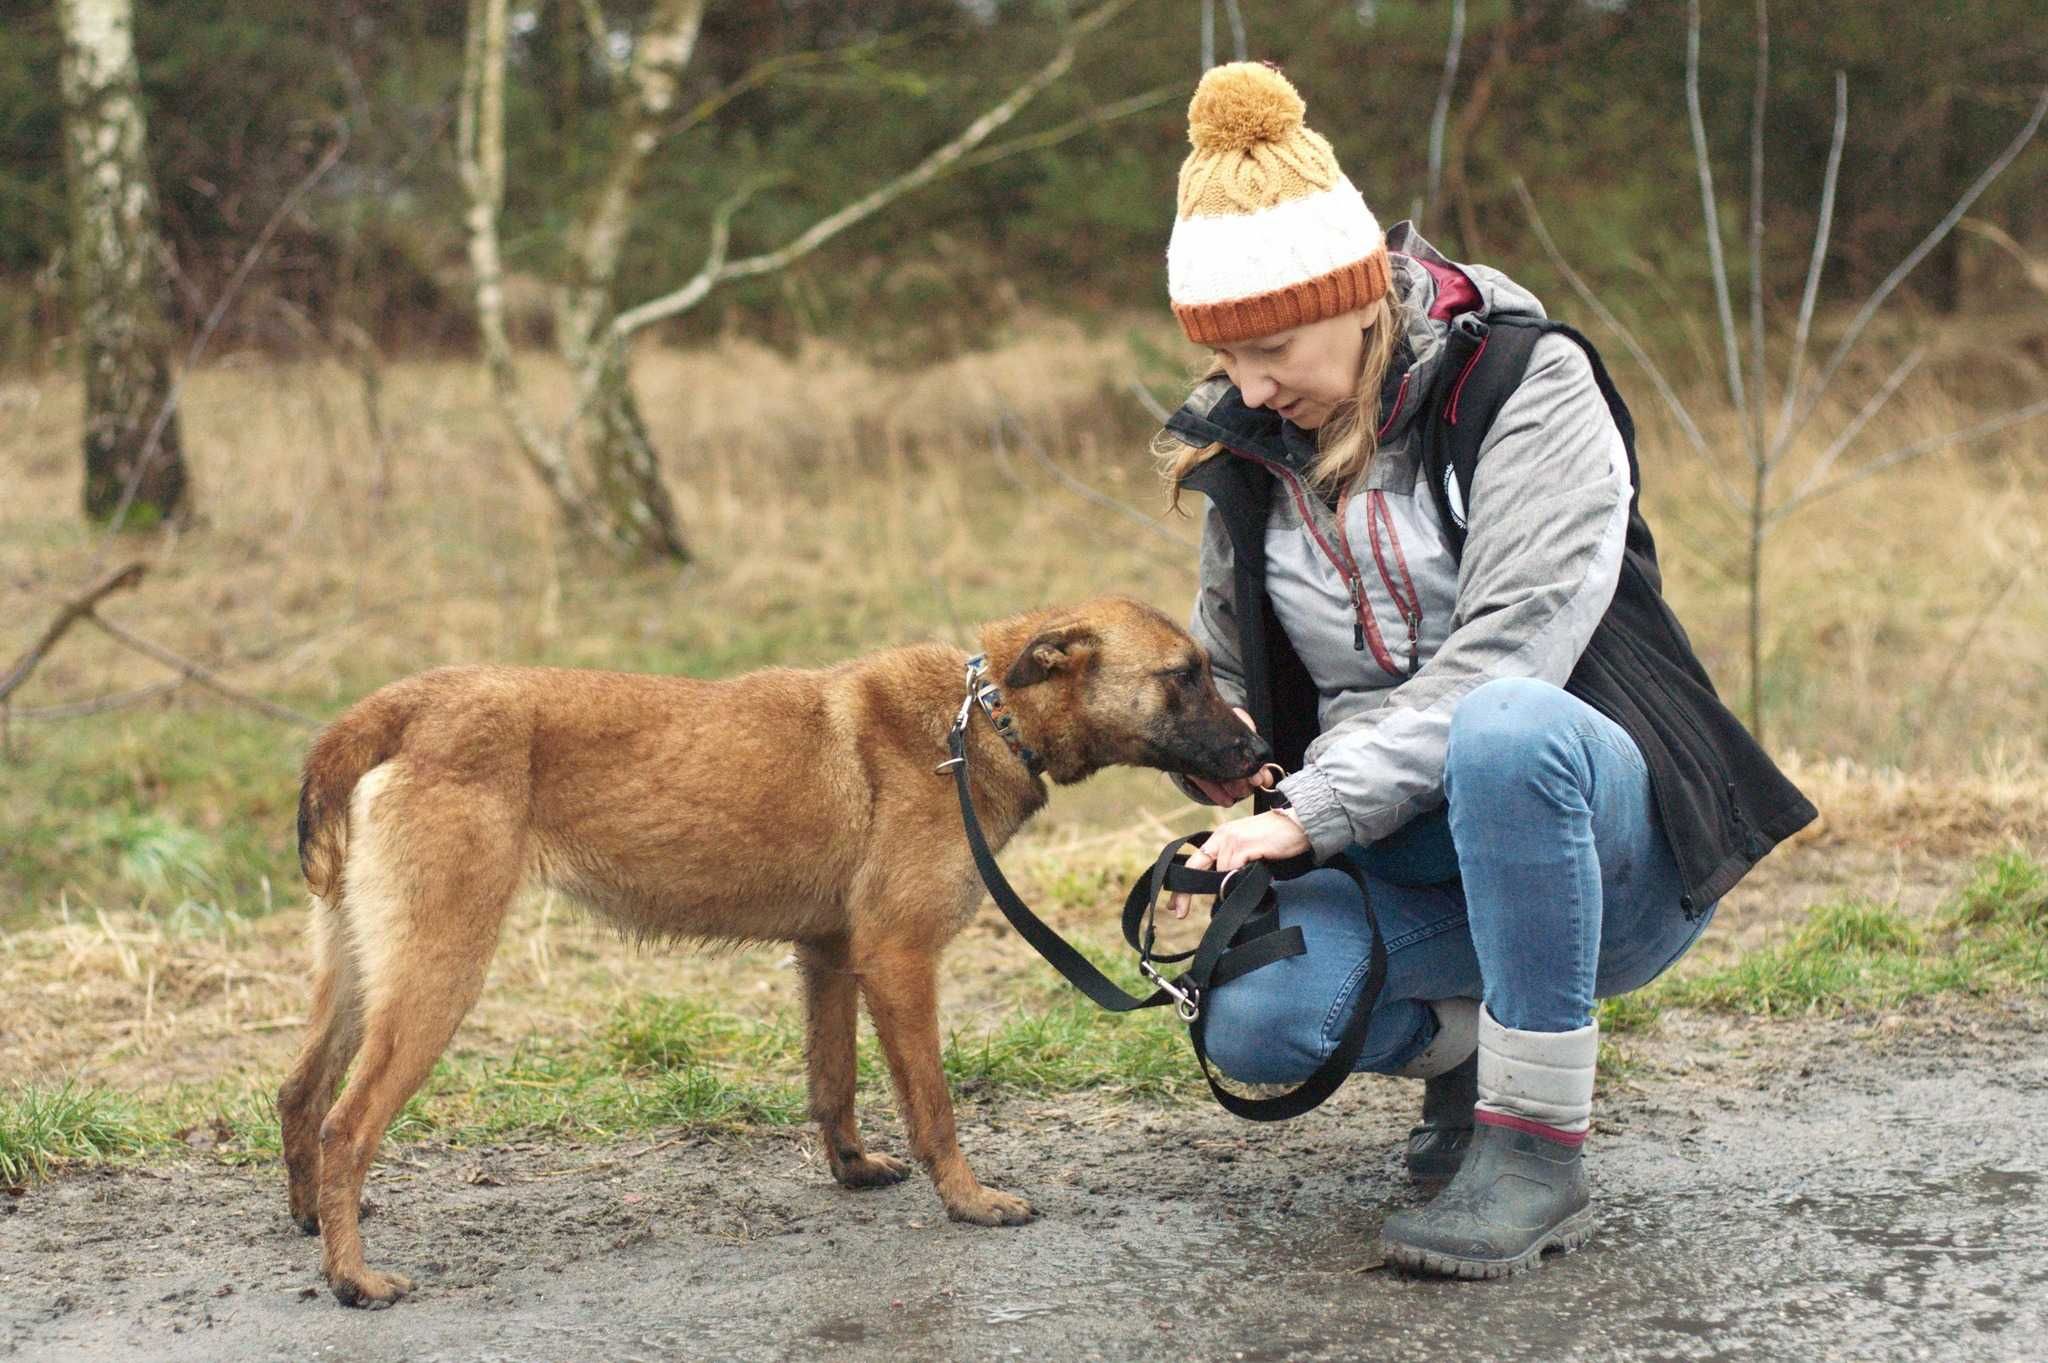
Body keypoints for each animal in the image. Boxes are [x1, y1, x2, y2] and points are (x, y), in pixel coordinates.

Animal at [272, 593, 1261, 1309]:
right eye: (1184, 676)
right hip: (438, 973)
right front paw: (969, 1200)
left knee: (299, 1093)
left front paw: (853, 1168)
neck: (982, 719)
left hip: (362, 971)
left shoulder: (830, 955)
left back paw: (315, 1221)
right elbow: (934, 1106)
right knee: (345, 1121)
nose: (1258, 753)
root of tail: (392, 707)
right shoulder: (898, 958)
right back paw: (353, 1277)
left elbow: (835, 1084)